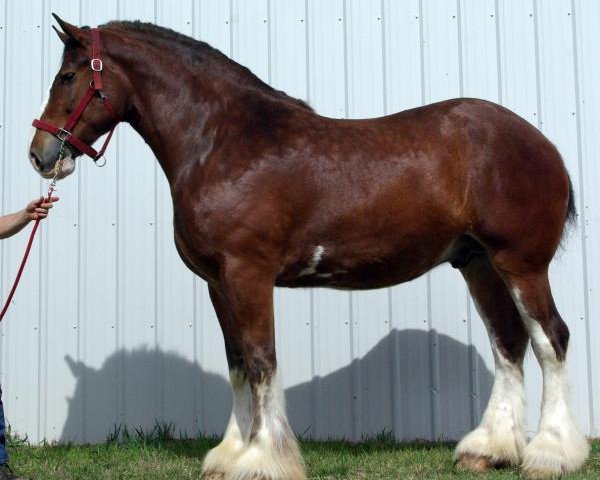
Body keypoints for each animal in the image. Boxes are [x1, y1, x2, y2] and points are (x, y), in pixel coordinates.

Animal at [30, 15, 588, 480]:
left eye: (68, 76)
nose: (40, 154)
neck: (224, 143)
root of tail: (542, 144)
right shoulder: (218, 283)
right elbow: (238, 363)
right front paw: (230, 454)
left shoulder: (248, 274)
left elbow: (261, 360)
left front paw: (262, 459)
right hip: (477, 263)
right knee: (508, 343)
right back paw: (489, 450)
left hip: (520, 263)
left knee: (550, 339)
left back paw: (551, 454)